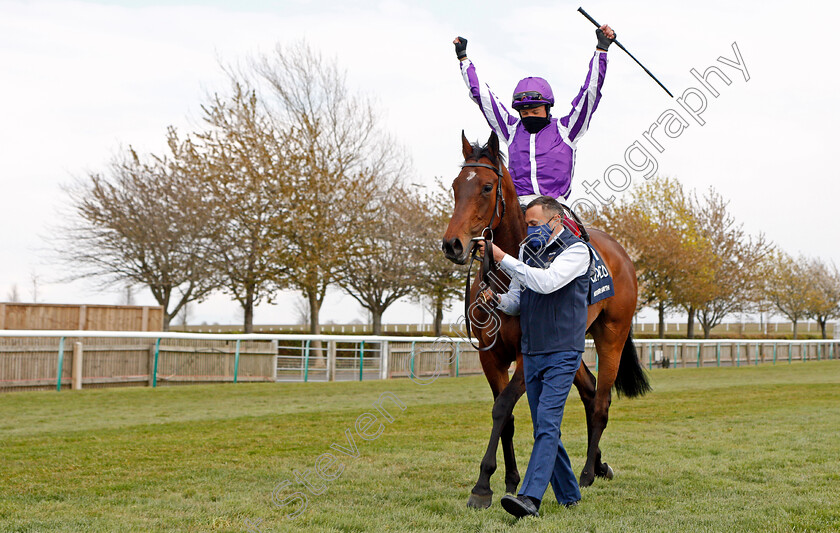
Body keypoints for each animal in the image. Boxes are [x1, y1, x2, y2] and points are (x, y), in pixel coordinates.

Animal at [442, 132, 652, 508]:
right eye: (455, 186)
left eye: (485, 187)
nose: (452, 244)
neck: (507, 275)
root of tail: (622, 254)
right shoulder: (489, 355)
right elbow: (506, 416)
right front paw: (509, 480)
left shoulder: (529, 354)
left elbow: (502, 408)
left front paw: (482, 485)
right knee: (589, 391)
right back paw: (600, 465)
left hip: (611, 335)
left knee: (601, 401)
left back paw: (587, 473)